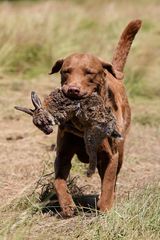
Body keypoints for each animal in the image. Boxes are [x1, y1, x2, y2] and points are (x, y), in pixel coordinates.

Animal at [49, 19, 141, 217]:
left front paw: (105, 208)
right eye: (66, 71)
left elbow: (108, 183)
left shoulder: (110, 156)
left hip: (120, 151)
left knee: (113, 180)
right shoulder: (63, 154)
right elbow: (58, 181)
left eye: (89, 72)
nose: (72, 90)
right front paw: (67, 205)